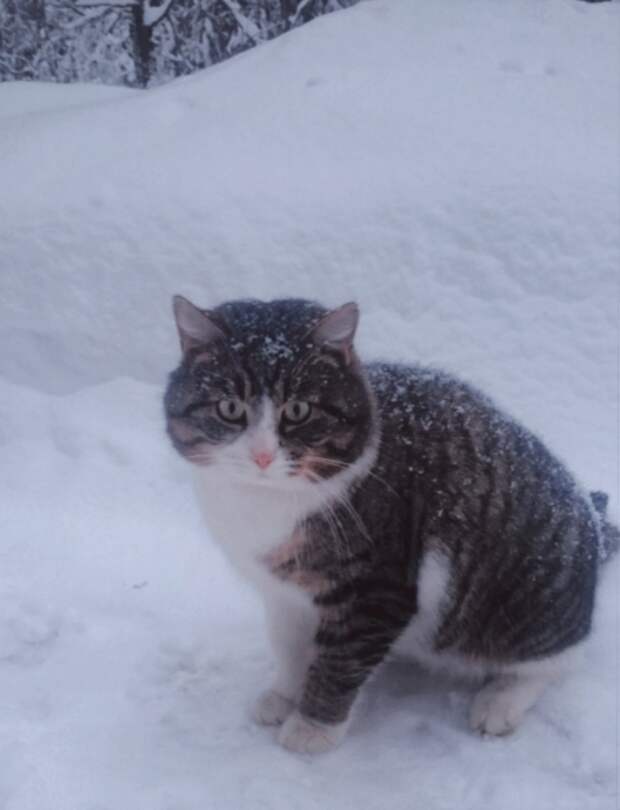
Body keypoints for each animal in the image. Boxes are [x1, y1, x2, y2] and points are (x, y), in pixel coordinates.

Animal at [162, 296, 616, 752]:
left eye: (299, 410)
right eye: (229, 409)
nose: (262, 455)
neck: (265, 504)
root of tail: (593, 522)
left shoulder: (377, 589)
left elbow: (340, 662)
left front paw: (312, 727)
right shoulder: (283, 594)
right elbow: (288, 646)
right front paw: (283, 695)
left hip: (527, 603)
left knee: (555, 660)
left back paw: (499, 702)